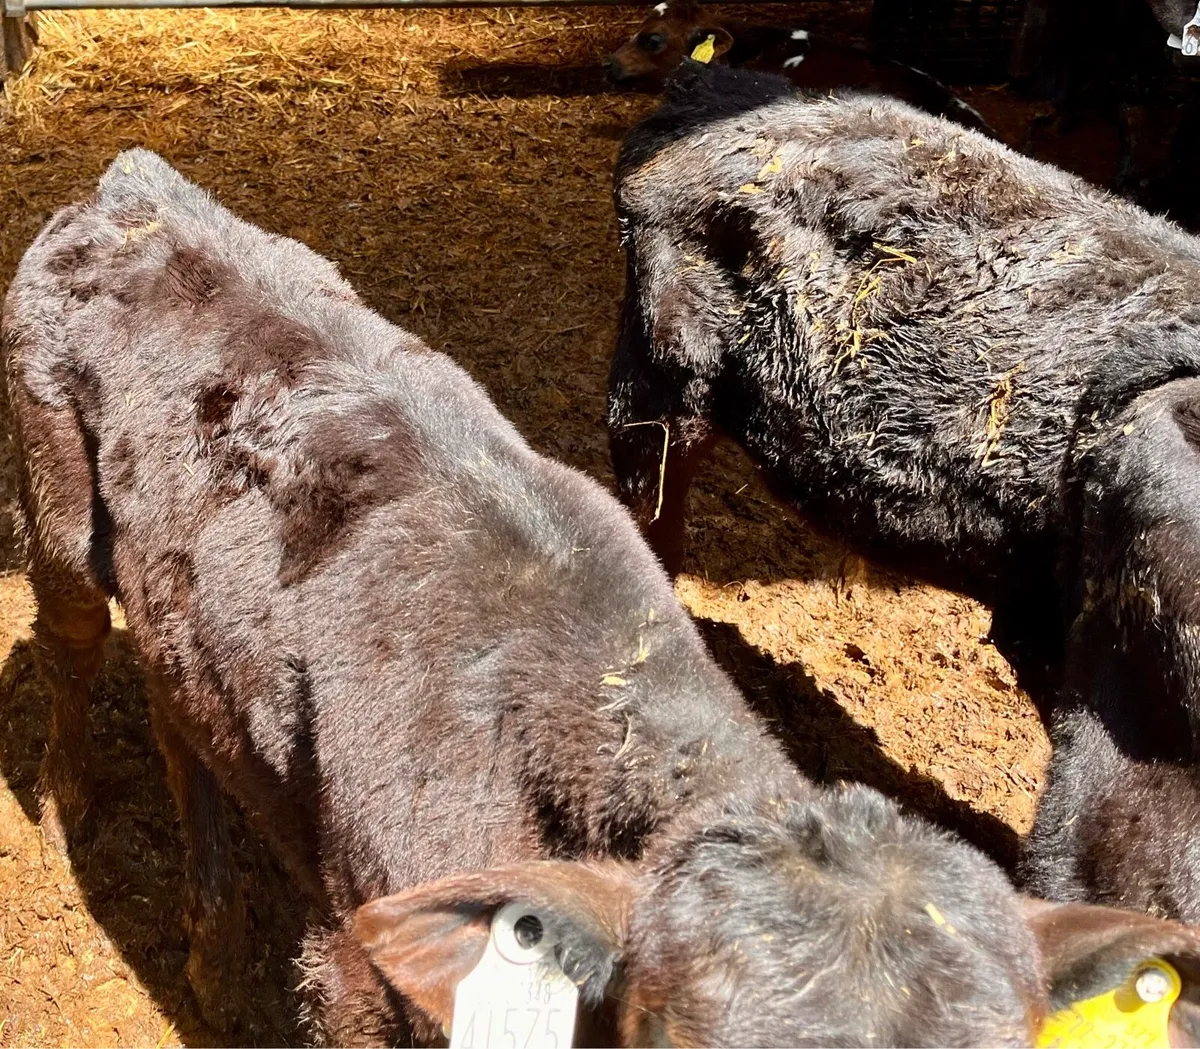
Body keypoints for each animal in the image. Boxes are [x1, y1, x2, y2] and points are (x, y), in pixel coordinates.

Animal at [9, 149, 1200, 1047]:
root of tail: (140, 188)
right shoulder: (354, 950)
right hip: (58, 504)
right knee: (67, 642)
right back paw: (71, 798)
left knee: (185, 719)